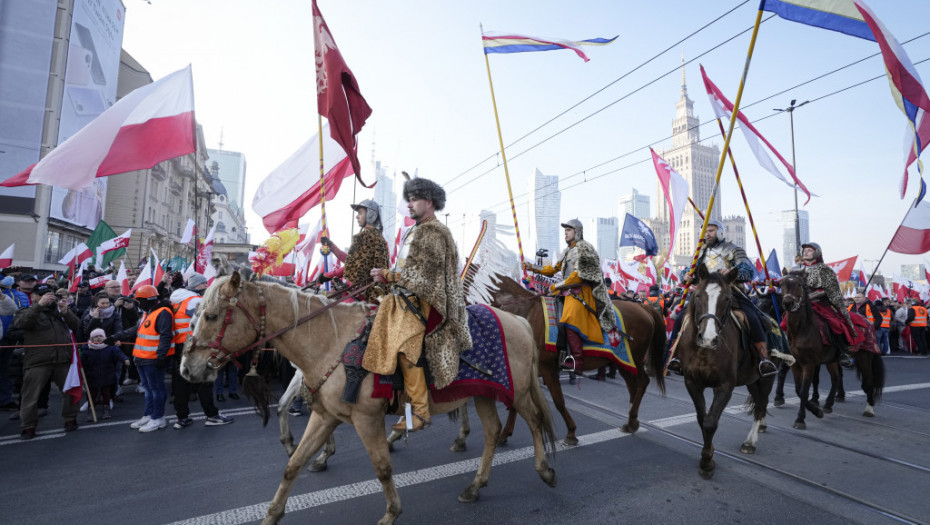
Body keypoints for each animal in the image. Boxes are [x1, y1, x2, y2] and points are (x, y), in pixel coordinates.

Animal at [182, 270, 560, 524]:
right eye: (197, 313)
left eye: (212, 315)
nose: (188, 369)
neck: (332, 341)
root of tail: (517, 320)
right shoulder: (324, 415)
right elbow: (293, 466)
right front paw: (273, 513)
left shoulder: (366, 419)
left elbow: (381, 467)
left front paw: (392, 512)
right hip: (483, 394)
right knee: (493, 431)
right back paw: (475, 485)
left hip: (517, 391)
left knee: (534, 420)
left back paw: (544, 470)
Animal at [478, 272, 668, 444]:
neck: (525, 313)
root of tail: (643, 308)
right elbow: (516, 403)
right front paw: (504, 434)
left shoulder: (546, 368)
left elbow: (559, 401)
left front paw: (571, 432)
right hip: (623, 363)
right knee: (633, 387)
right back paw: (631, 422)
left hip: (633, 358)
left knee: (642, 383)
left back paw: (632, 419)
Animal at [676, 266, 776, 478]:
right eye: (698, 295)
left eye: (728, 299)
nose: (708, 338)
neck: (704, 351)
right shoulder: (692, 383)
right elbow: (702, 418)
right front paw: (708, 455)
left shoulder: (725, 386)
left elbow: (711, 422)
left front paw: (707, 462)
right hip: (751, 380)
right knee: (758, 402)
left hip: (766, 378)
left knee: (761, 404)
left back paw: (750, 442)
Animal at [776, 272, 884, 428]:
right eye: (782, 284)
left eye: (799, 284)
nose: (788, 303)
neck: (801, 330)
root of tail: (869, 322)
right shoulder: (795, 363)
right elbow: (798, 390)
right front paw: (816, 411)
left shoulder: (809, 364)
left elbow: (804, 391)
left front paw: (800, 419)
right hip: (832, 360)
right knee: (836, 378)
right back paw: (828, 404)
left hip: (864, 357)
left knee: (868, 381)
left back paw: (869, 409)